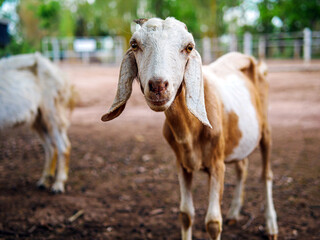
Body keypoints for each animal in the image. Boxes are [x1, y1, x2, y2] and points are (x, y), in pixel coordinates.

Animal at [0, 52, 73, 193]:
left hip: (51, 111)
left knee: (63, 145)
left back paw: (58, 184)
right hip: (39, 118)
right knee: (50, 146)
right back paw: (44, 181)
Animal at [102, 17, 278, 239]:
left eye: (189, 47)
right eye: (134, 45)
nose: (158, 86)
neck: (189, 131)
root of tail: (249, 58)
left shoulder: (217, 164)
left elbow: (213, 222)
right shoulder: (182, 164)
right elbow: (185, 214)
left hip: (265, 130)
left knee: (266, 174)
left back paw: (271, 226)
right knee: (242, 166)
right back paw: (234, 212)